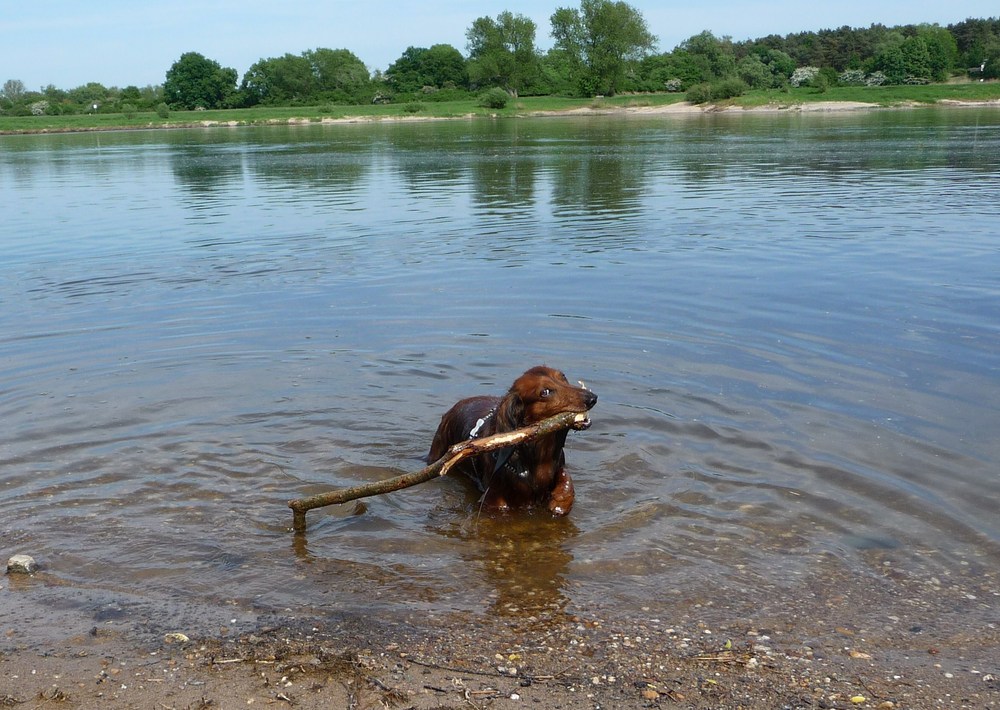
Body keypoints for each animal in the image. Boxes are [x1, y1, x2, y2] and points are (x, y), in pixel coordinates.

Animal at [426, 368, 596, 516]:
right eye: (545, 392)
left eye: (563, 377)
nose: (592, 398)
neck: (540, 455)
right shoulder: (493, 498)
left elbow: (566, 478)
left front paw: (560, 502)